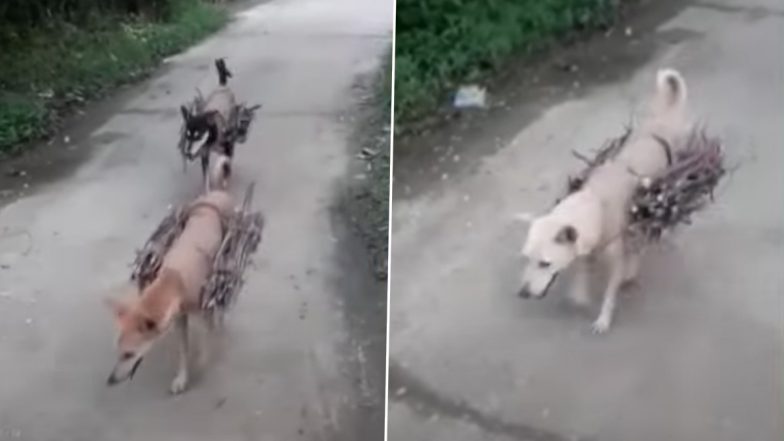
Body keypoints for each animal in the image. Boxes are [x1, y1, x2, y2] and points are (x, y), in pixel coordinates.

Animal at [520, 68, 692, 334]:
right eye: (526, 258)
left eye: (545, 264)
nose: (523, 294)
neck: (596, 205)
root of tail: (662, 120)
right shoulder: (583, 250)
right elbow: (580, 280)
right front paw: (579, 297)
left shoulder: (616, 260)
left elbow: (610, 293)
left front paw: (603, 318)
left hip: (669, 188)